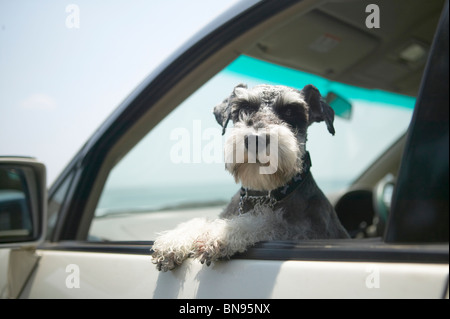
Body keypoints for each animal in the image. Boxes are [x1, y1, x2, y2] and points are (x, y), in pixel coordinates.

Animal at [151, 84, 348, 272]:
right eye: (244, 107)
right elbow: (202, 220)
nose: (256, 139)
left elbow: (267, 222)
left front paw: (218, 235)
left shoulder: (306, 232)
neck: (260, 193)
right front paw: (174, 241)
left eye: (290, 111)